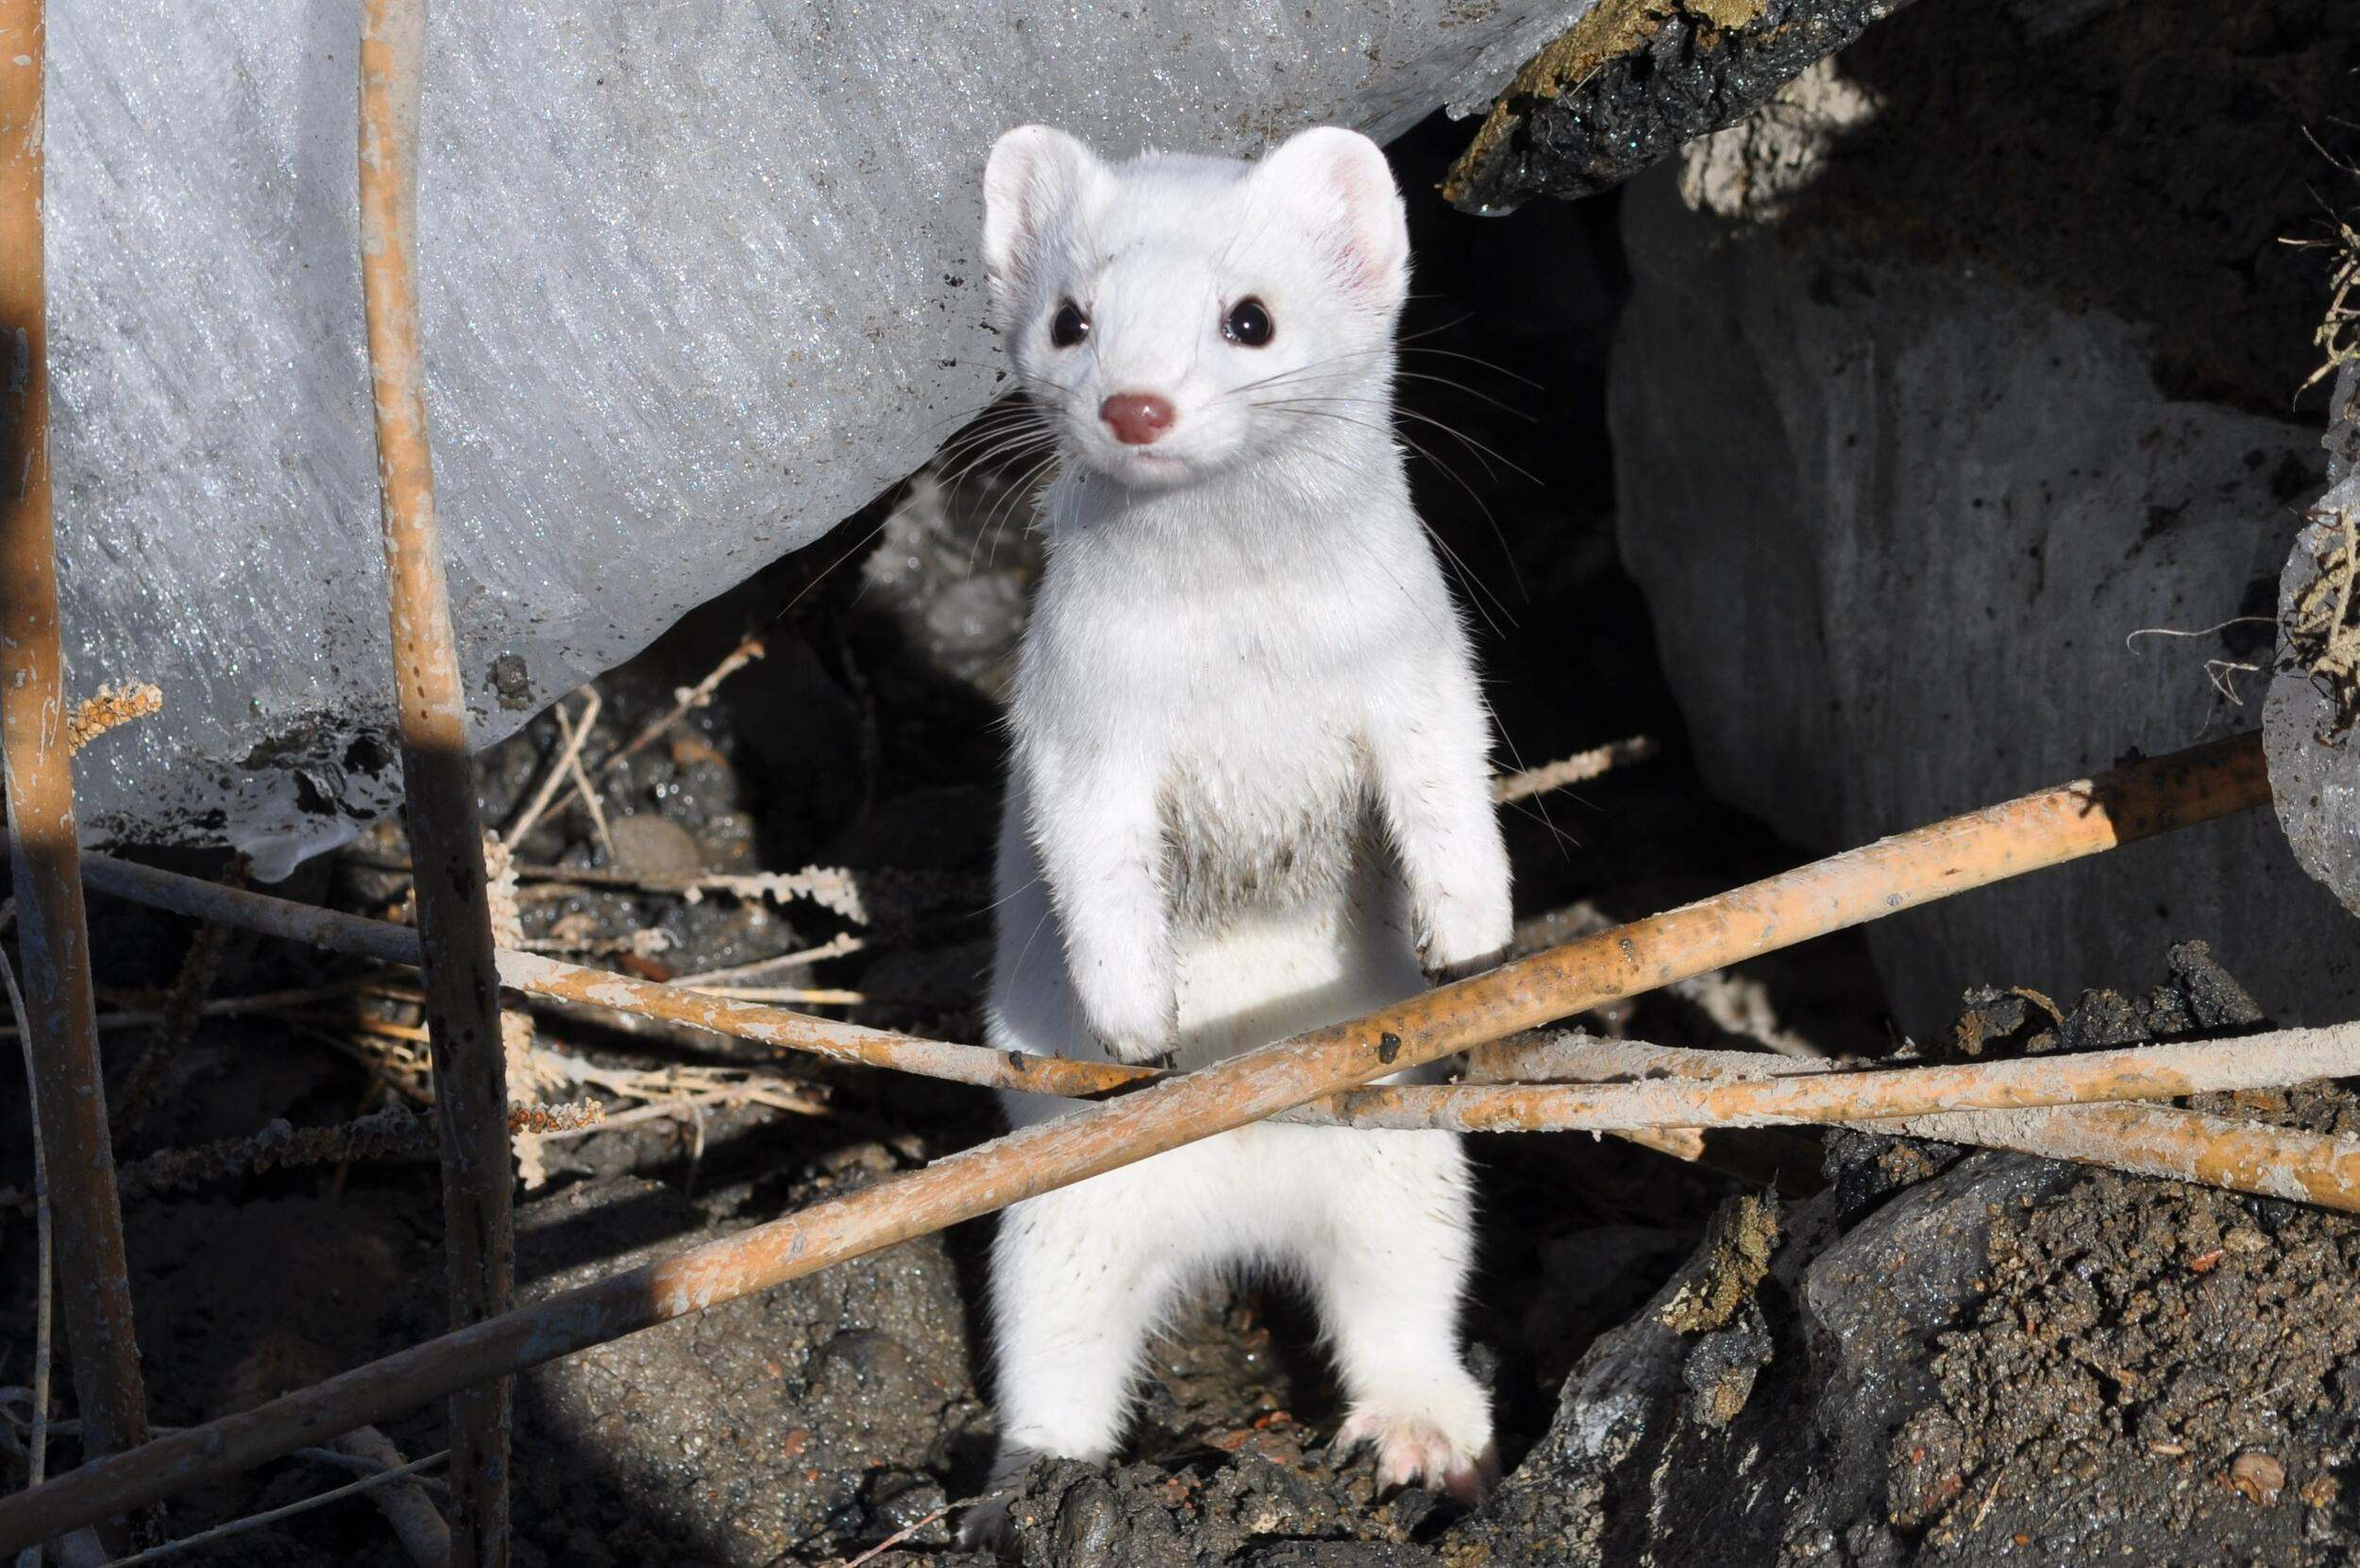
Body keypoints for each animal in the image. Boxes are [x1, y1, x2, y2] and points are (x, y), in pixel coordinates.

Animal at [972, 128, 1510, 1520]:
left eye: (1250, 316)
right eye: (1071, 317)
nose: (1136, 404)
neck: (1243, 659)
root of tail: (1233, 1223)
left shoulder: (1417, 668)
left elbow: (1449, 792)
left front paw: (1471, 933)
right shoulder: (1080, 724)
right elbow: (1092, 867)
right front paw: (1135, 1020)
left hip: (1405, 1172)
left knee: (1403, 1300)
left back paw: (1423, 1430)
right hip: (1060, 1225)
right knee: (1055, 1348)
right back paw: (1032, 1477)